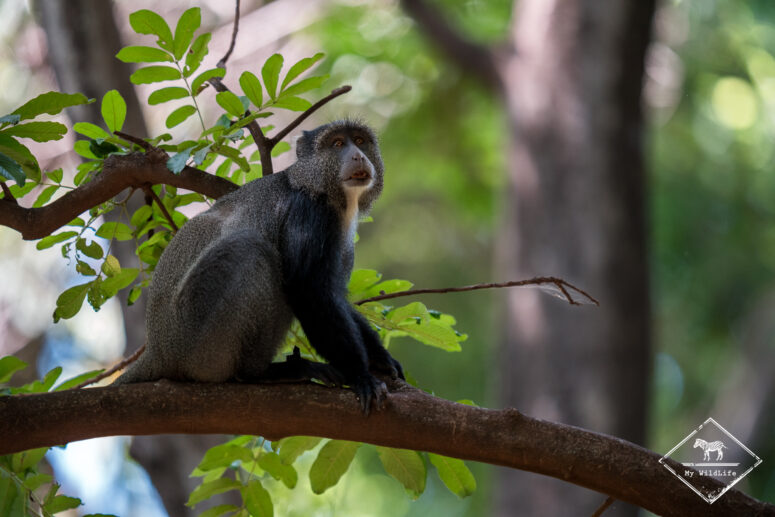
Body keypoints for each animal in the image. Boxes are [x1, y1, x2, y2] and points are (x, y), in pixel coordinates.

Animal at [114, 120, 403, 414]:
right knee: (251, 249)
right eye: (337, 144)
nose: (358, 156)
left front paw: (381, 359)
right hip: (195, 337)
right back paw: (260, 373)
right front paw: (361, 376)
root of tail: (158, 350)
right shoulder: (308, 212)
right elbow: (311, 291)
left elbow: (335, 296)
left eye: (360, 140)